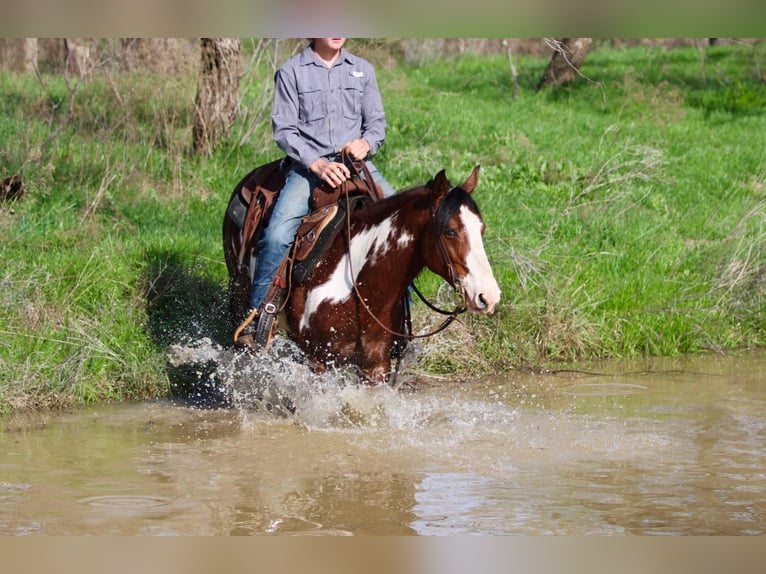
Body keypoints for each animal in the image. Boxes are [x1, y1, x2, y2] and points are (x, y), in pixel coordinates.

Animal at [223, 164, 501, 384]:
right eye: (450, 231)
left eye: (482, 228)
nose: (488, 296)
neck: (360, 284)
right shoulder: (318, 361)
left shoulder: (375, 367)